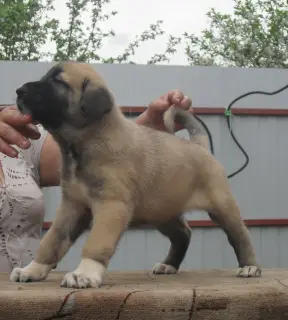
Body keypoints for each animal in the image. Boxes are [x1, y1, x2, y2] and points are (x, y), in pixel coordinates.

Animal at [10, 61, 260, 288]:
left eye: (58, 82)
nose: (19, 91)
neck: (86, 142)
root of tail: (200, 145)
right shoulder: (72, 207)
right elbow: (52, 241)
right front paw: (33, 269)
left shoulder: (112, 205)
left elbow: (97, 241)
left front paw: (84, 273)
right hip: (162, 211)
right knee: (183, 234)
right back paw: (169, 265)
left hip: (221, 206)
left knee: (240, 235)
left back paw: (249, 266)